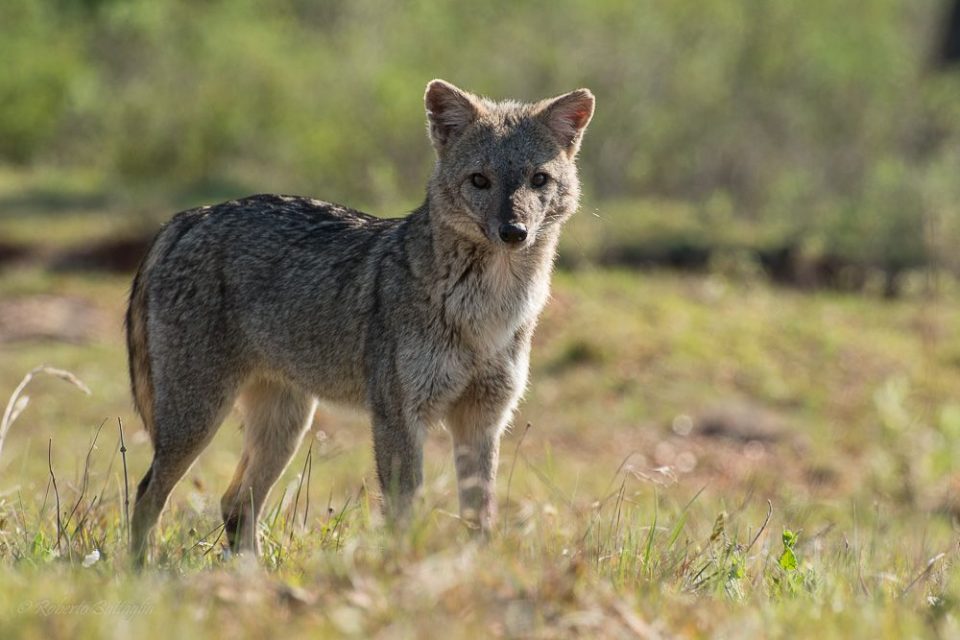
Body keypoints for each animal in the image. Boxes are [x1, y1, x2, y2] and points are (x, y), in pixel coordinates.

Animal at [126, 79, 594, 565]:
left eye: (538, 180)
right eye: (480, 180)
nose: (514, 231)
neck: (487, 314)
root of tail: (191, 215)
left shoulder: (481, 420)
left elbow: (479, 517)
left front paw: (477, 567)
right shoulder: (398, 418)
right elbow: (405, 515)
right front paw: (403, 569)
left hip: (285, 428)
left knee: (235, 503)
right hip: (197, 422)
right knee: (146, 496)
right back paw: (142, 573)